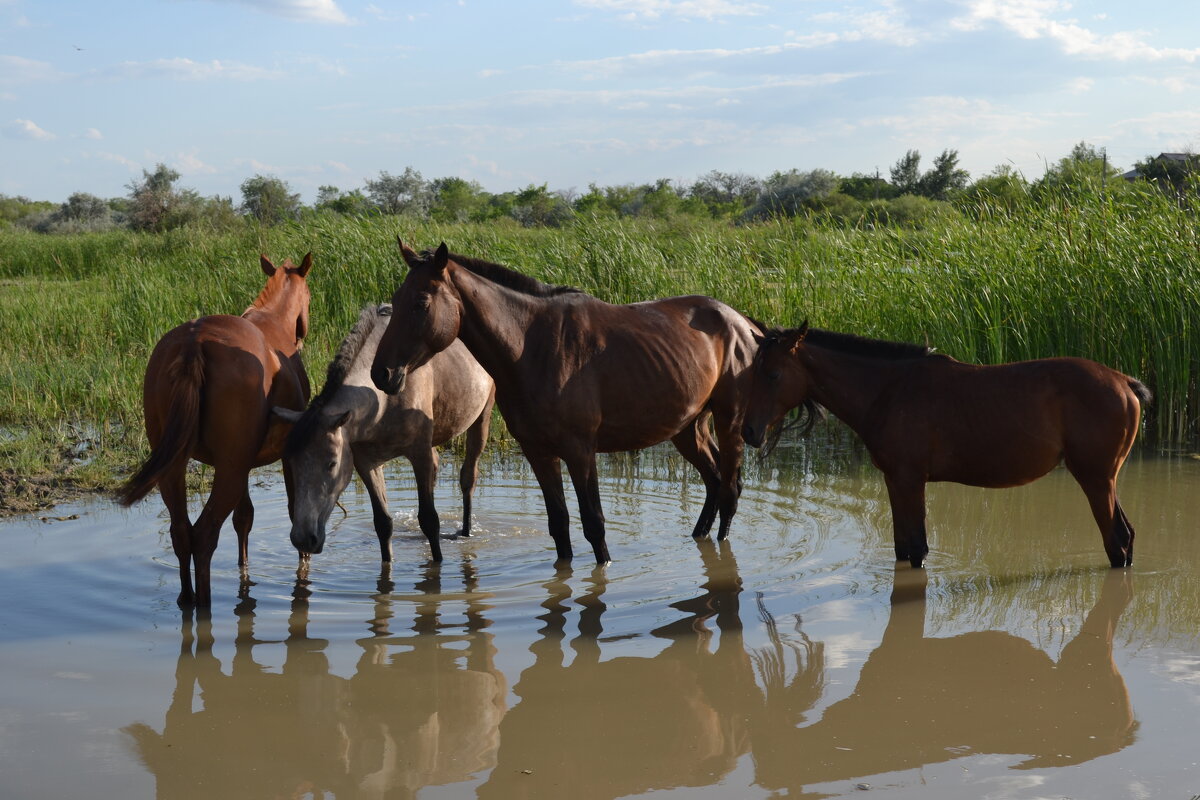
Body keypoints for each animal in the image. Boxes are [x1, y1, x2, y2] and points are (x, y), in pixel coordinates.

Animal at [115, 253, 314, 604]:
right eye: (310, 297)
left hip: (177, 467)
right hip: (229, 469)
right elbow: (294, 511)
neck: (273, 321)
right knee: (204, 534)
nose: (302, 334)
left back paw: (186, 598)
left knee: (182, 532)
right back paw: (204, 603)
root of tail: (194, 341)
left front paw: (244, 570)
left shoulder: (245, 462)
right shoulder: (286, 455)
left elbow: (244, 518)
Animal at [272, 304, 492, 563]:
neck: (383, 400)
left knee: (468, 478)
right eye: (292, 464)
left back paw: (465, 532)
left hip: (483, 414)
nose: (303, 539)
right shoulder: (366, 462)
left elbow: (430, 520)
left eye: (331, 463)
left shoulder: (419, 453)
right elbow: (383, 524)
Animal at [367, 241, 758, 566]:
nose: (381, 373)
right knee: (714, 480)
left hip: (729, 422)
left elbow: (593, 524)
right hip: (688, 426)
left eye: (421, 303)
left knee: (729, 490)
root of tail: (740, 321)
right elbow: (559, 524)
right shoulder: (538, 452)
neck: (531, 347)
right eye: (396, 300)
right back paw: (698, 538)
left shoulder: (580, 451)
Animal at [739, 323, 1152, 568]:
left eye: (772, 374)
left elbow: (917, 548)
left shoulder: (910, 481)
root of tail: (1123, 381)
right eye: (751, 373)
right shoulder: (895, 481)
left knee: (1117, 540)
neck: (888, 390)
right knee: (1126, 536)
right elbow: (903, 547)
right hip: (1103, 480)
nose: (749, 432)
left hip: (1095, 479)